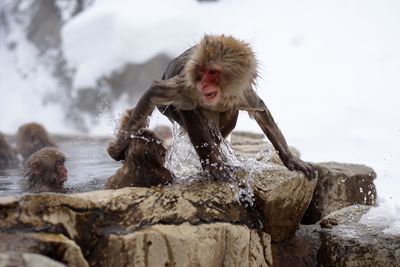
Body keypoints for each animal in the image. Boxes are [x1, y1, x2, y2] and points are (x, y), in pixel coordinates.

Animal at [108, 34, 318, 181]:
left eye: (213, 72)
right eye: (201, 72)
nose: (203, 84)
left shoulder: (242, 94)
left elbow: (261, 112)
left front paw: (292, 160)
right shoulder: (187, 86)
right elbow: (155, 93)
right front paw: (118, 149)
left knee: (227, 117)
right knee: (191, 113)